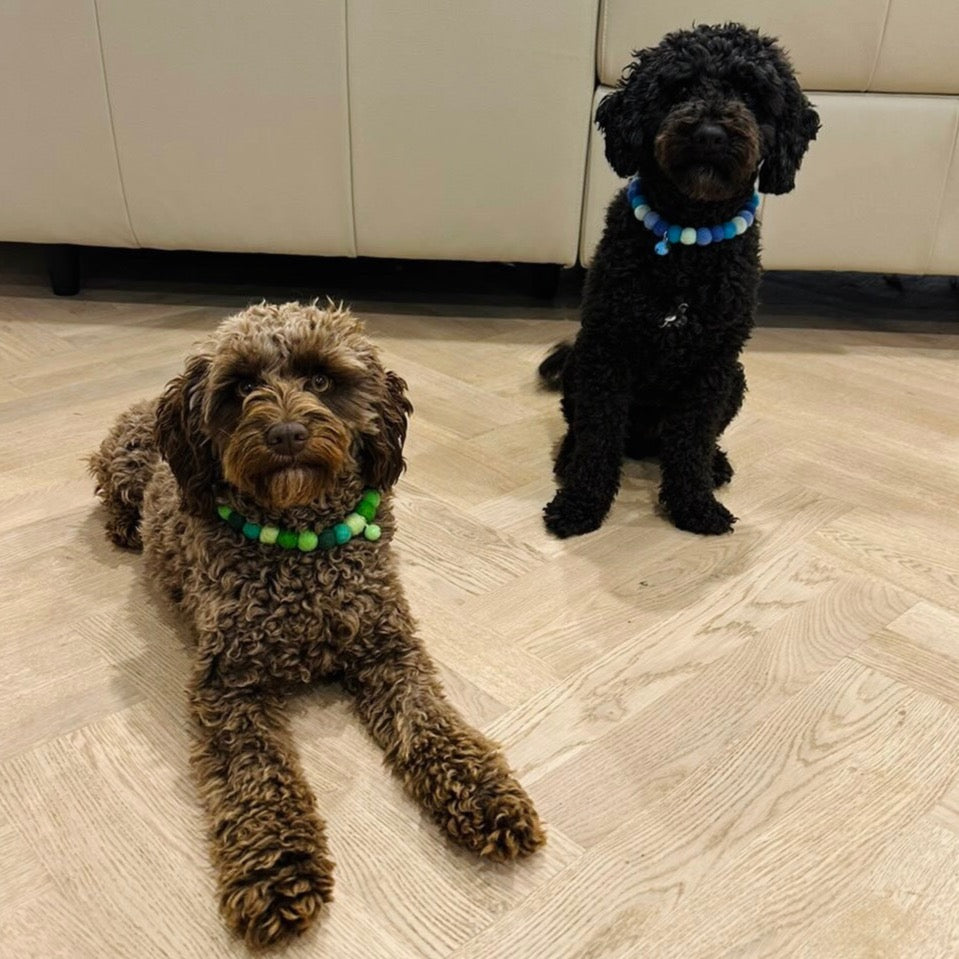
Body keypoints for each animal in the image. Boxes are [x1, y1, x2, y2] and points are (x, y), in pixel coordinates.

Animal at [90, 304, 548, 948]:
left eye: (323, 379)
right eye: (241, 387)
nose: (286, 435)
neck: (300, 554)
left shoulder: (390, 649)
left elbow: (433, 723)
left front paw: (485, 793)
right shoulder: (229, 686)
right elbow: (258, 779)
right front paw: (278, 872)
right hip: (127, 467)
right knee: (109, 491)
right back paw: (123, 528)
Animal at [544, 22, 820, 536]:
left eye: (751, 93)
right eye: (680, 88)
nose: (710, 134)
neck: (686, 250)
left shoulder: (710, 367)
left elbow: (691, 443)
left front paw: (695, 505)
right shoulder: (609, 353)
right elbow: (598, 439)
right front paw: (580, 504)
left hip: (734, 380)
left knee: (691, 442)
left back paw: (716, 465)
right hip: (581, 363)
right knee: (584, 429)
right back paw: (568, 457)